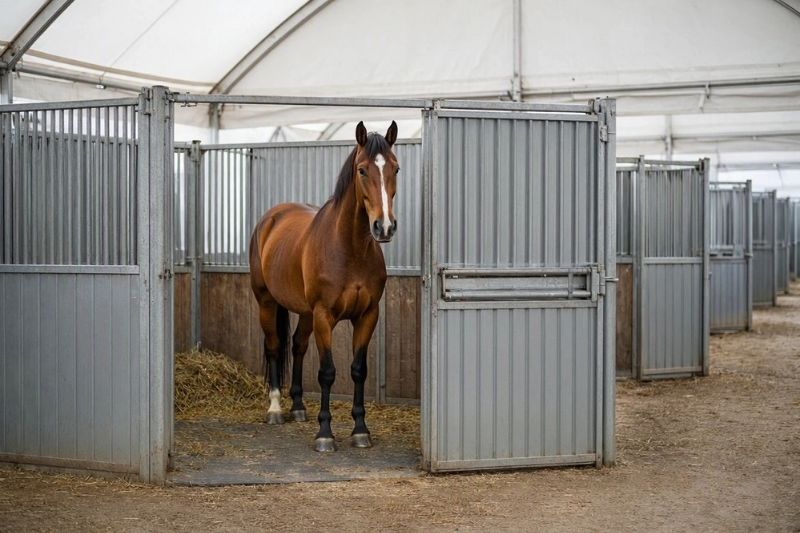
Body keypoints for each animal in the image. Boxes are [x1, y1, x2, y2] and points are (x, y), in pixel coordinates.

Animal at [248, 121, 399, 452]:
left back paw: (298, 408)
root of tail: (270, 218)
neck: (349, 248)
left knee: (298, 346)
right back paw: (275, 409)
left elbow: (358, 370)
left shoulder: (367, 315)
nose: (384, 227)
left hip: (305, 313)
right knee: (274, 346)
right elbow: (327, 372)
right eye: (362, 170)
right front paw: (325, 434)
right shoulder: (324, 316)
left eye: (396, 167)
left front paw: (360, 430)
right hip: (267, 302)